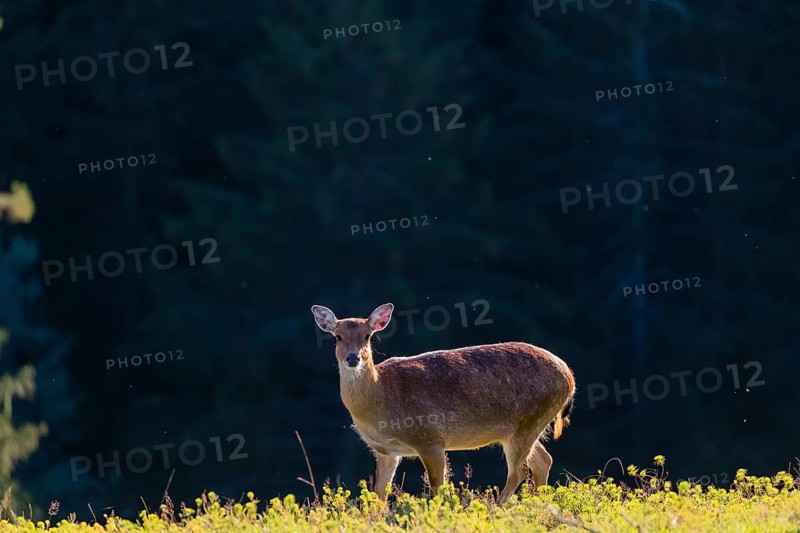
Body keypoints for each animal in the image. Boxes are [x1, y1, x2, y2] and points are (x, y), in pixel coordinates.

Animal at [311, 302, 576, 505]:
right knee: (543, 461)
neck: (380, 397)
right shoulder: (386, 451)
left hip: (528, 421)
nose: (352, 358)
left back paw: (497, 508)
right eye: (338, 336)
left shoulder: (429, 439)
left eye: (367, 336)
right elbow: (379, 493)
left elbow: (438, 487)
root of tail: (569, 376)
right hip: (523, 428)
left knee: (519, 470)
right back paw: (538, 504)